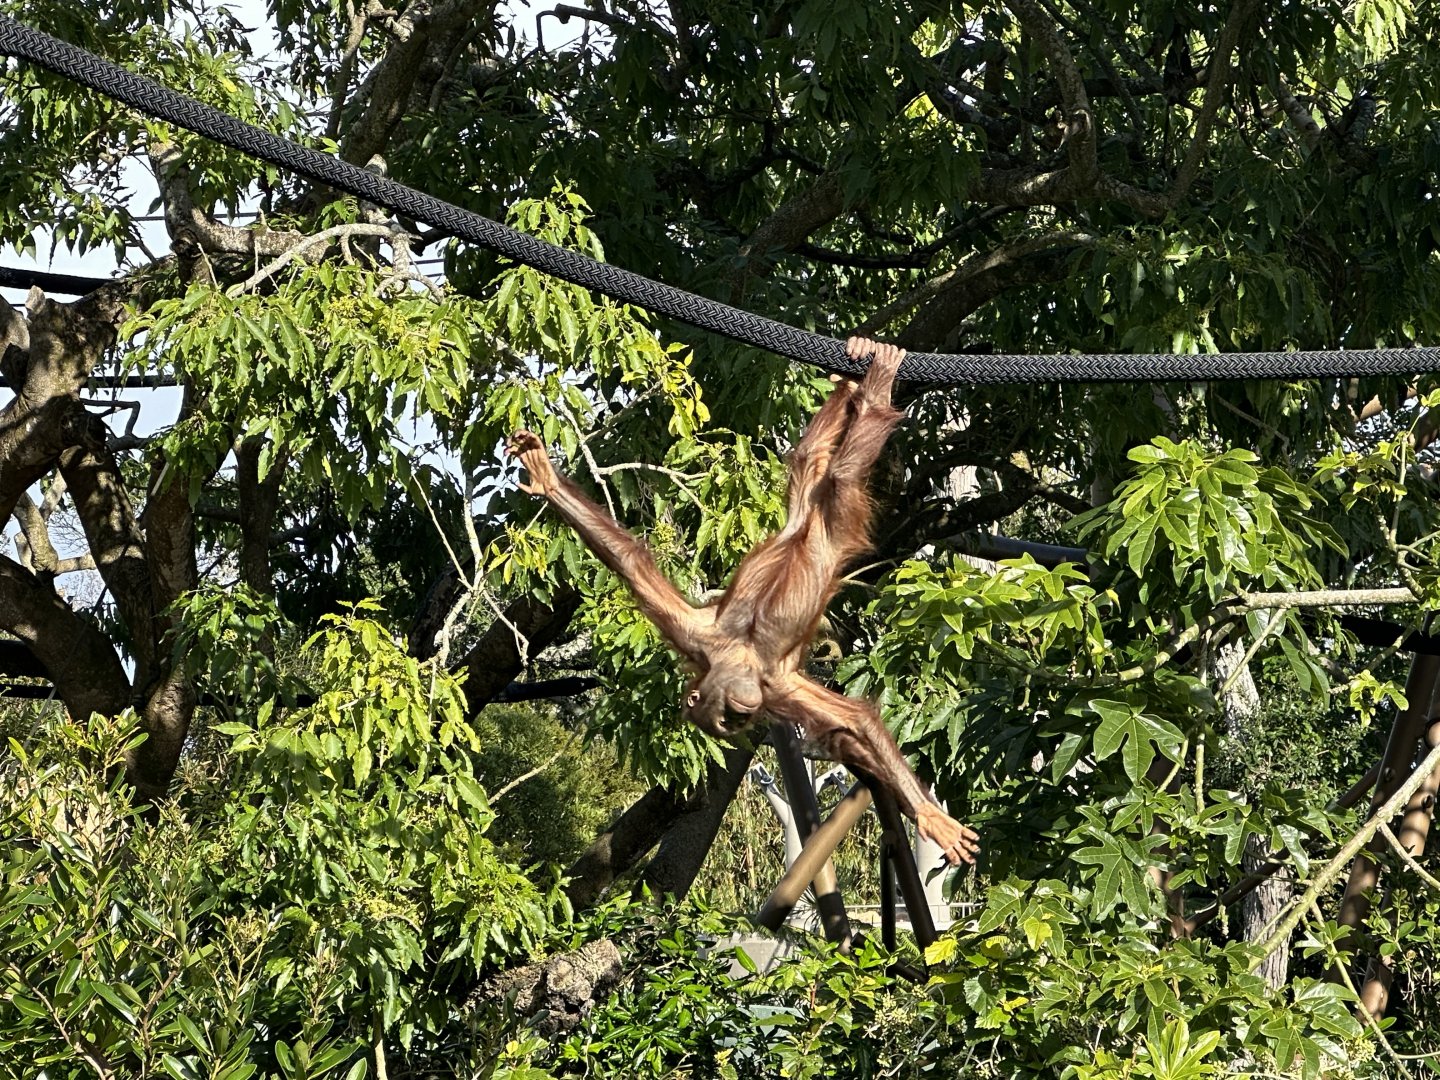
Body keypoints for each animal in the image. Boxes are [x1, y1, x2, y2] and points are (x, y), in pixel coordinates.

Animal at [508, 337, 979, 865]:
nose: (741, 713)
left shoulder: (758, 677)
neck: (739, 655)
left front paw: (932, 818)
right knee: (810, 464)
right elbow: (848, 731)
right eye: (731, 721)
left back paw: (874, 394)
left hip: (833, 523)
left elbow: (856, 719)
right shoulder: (749, 673)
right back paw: (851, 383)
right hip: (805, 518)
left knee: (841, 476)